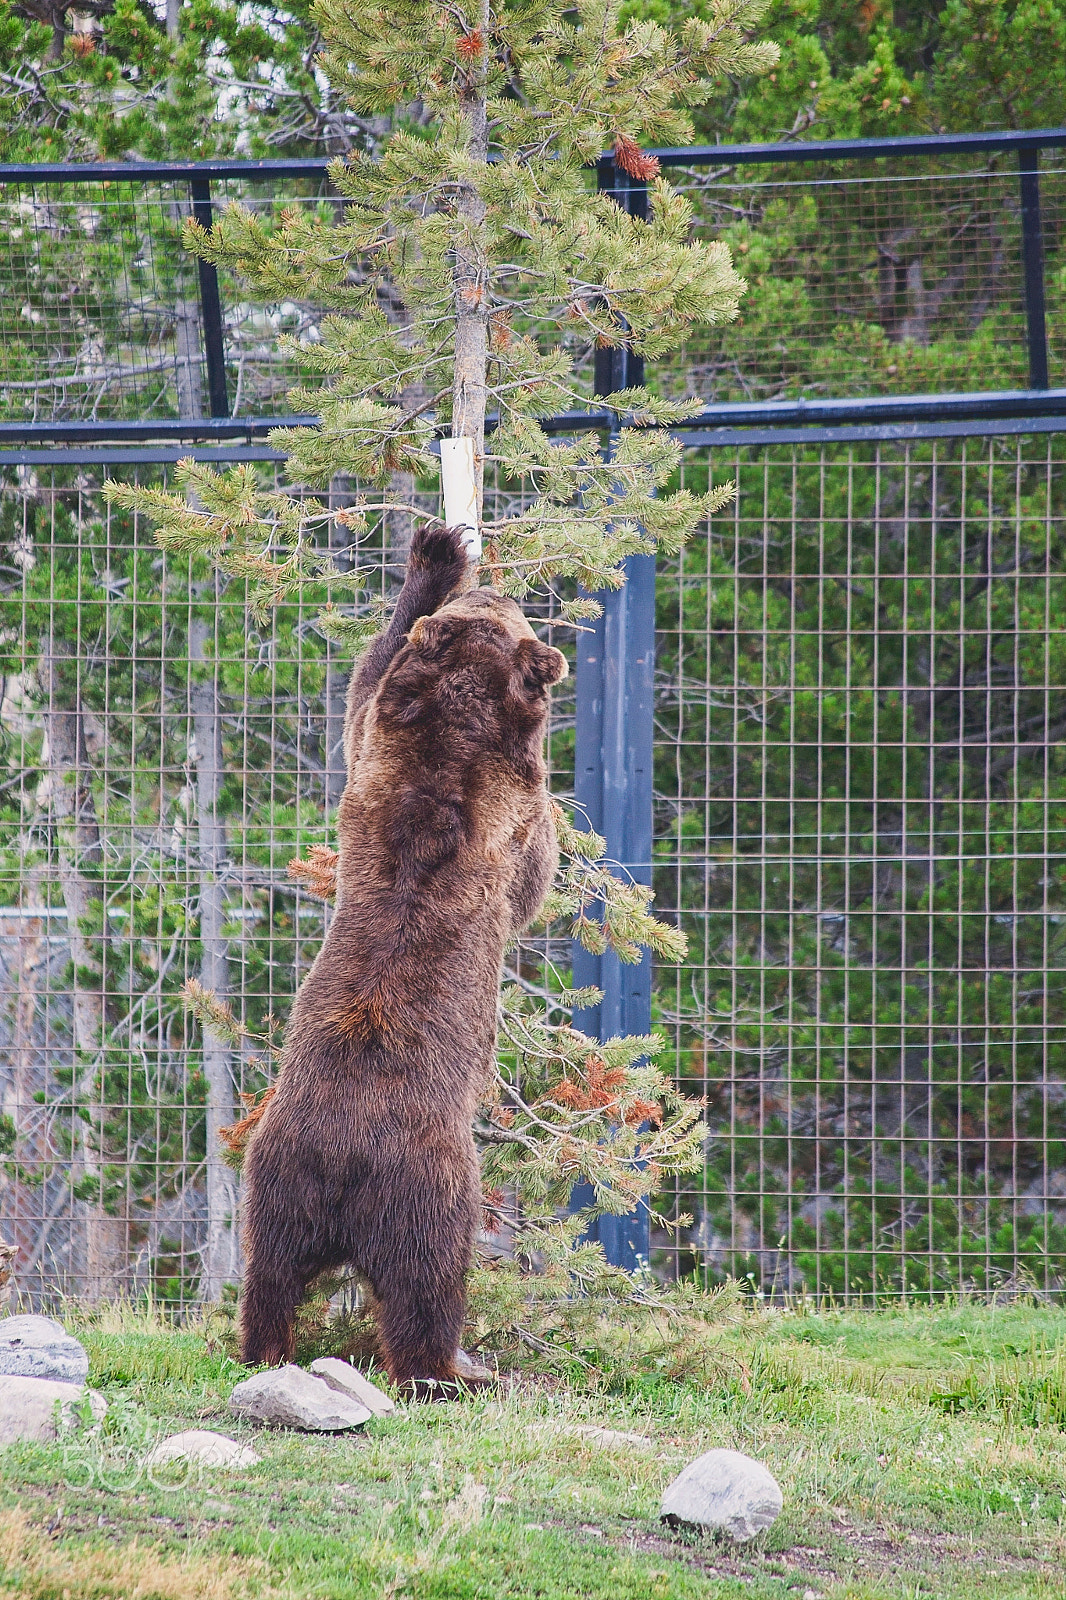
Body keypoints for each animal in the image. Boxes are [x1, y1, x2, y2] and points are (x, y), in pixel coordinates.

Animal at [237, 523, 568, 1390]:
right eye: (509, 610)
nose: (492, 585)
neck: (454, 731)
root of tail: (344, 1165)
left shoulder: (377, 757)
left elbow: (366, 683)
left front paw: (429, 556)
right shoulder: (505, 811)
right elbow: (534, 873)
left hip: (275, 1172)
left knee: (266, 1274)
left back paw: (263, 1345)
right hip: (431, 1187)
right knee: (427, 1284)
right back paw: (453, 1371)